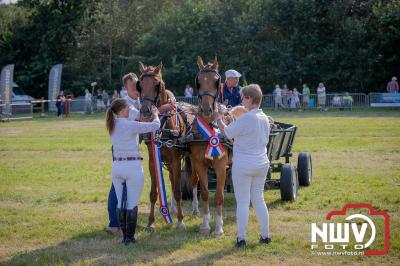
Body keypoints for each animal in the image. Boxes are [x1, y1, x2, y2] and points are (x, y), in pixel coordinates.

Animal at [138, 62, 188, 231]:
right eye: (140, 85)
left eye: (156, 84)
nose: (146, 111)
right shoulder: (153, 161)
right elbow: (153, 193)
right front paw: (150, 222)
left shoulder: (176, 160)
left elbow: (178, 190)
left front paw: (180, 221)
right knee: (173, 180)